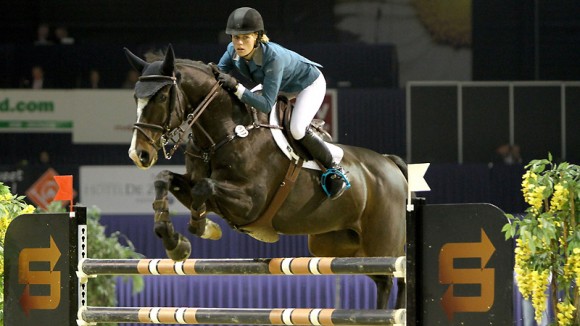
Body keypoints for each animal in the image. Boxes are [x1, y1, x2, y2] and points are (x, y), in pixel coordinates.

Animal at [123, 44, 408, 310]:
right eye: (135, 97)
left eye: (161, 96)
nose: (139, 154)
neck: (226, 133)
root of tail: (390, 164)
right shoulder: (194, 183)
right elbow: (165, 179)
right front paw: (175, 241)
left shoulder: (250, 203)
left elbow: (204, 188)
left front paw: (201, 226)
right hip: (334, 245)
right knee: (382, 278)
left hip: (381, 245)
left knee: (393, 278)